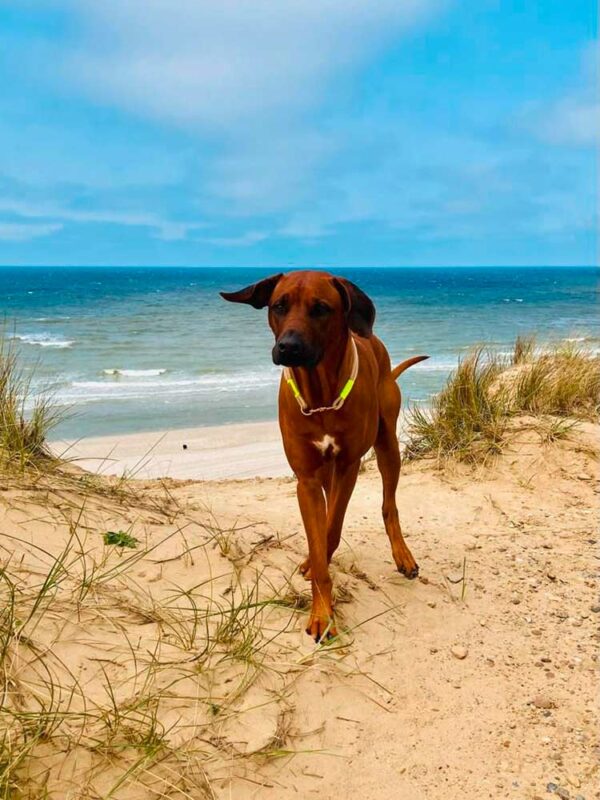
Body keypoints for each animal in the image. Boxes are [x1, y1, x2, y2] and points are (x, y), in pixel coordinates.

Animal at [223, 272, 428, 640]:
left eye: (321, 308)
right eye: (279, 305)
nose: (288, 347)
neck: (321, 397)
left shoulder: (348, 466)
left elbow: (332, 529)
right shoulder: (306, 480)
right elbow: (319, 542)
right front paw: (321, 610)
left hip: (387, 445)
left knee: (388, 504)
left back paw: (402, 554)